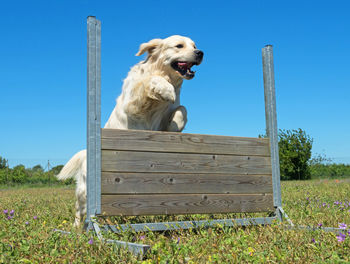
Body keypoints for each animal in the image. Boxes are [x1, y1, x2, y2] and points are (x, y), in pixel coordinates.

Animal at [57, 34, 204, 226]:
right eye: (179, 46)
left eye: (194, 45)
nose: (200, 53)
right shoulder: (133, 105)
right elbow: (148, 83)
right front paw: (165, 88)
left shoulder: (166, 115)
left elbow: (182, 109)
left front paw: (175, 126)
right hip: (86, 190)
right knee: (79, 209)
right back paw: (76, 228)